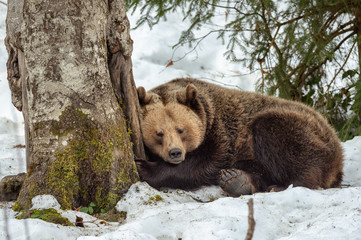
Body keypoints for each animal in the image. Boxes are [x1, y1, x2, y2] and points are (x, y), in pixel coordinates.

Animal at [136, 78, 344, 196]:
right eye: (159, 133)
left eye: (181, 130)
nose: (175, 153)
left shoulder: (221, 133)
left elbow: (206, 163)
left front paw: (143, 167)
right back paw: (237, 180)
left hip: (302, 130)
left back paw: (282, 186)